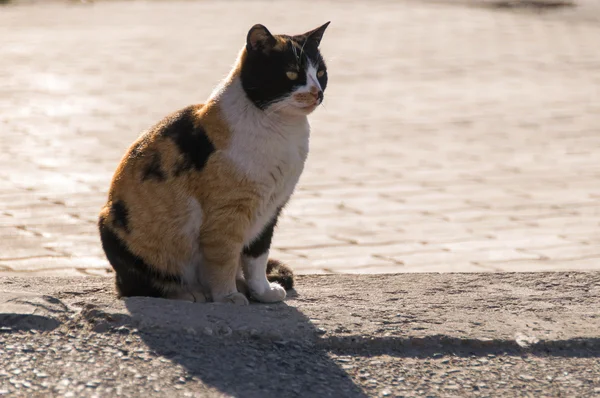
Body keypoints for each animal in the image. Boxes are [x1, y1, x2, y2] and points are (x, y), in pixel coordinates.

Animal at [99, 22, 332, 304]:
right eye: (291, 73)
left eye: (320, 72)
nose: (317, 93)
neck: (284, 131)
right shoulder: (227, 213)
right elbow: (224, 258)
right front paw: (228, 297)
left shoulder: (271, 209)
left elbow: (257, 256)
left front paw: (262, 292)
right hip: (115, 230)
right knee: (136, 287)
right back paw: (190, 292)